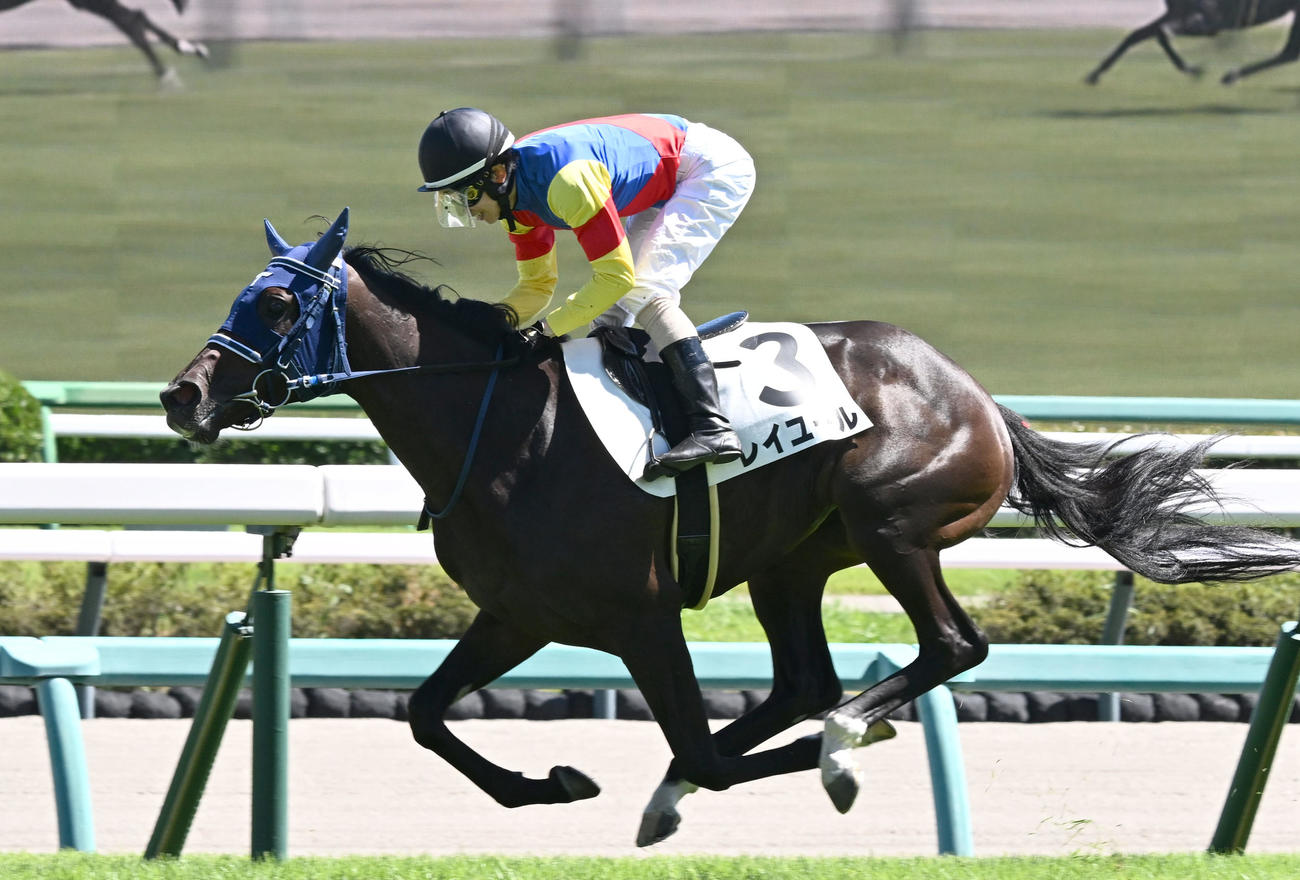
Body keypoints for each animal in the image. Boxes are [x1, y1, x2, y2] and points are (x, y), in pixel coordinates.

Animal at [161, 207, 1300, 847]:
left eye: (274, 306)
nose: (182, 397)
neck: (500, 428)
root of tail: (974, 393)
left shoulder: (642, 612)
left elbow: (704, 751)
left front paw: (817, 760)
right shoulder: (519, 611)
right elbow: (427, 715)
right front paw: (554, 781)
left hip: (892, 527)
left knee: (944, 647)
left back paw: (844, 742)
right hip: (788, 562)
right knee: (805, 680)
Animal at [1085, 0, 1300, 85]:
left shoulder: (1211, 22)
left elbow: (1162, 33)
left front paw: (1193, 70)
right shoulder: (1177, 12)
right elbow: (1137, 35)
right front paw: (1094, 75)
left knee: (1290, 52)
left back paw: (1230, 76)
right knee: (1290, 52)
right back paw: (1231, 76)